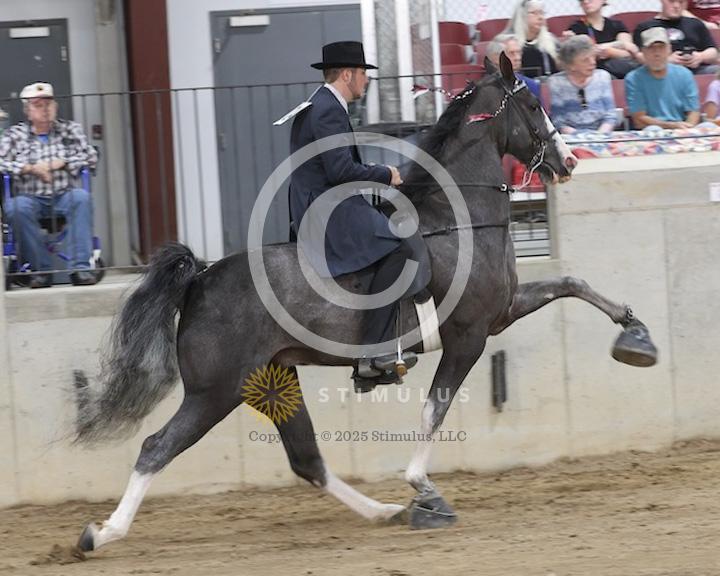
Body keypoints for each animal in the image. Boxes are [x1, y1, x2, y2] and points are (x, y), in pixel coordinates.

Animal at [74, 54, 657, 552]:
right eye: (533, 105)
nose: (570, 161)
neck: (458, 220)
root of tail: (200, 277)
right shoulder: (470, 334)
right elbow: (435, 408)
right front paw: (423, 487)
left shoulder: (503, 309)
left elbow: (571, 282)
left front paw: (636, 337)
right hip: (214, 392)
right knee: (157, 447)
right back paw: (101, 534)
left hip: (271, 381)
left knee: (308, 461)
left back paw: (384, 512)